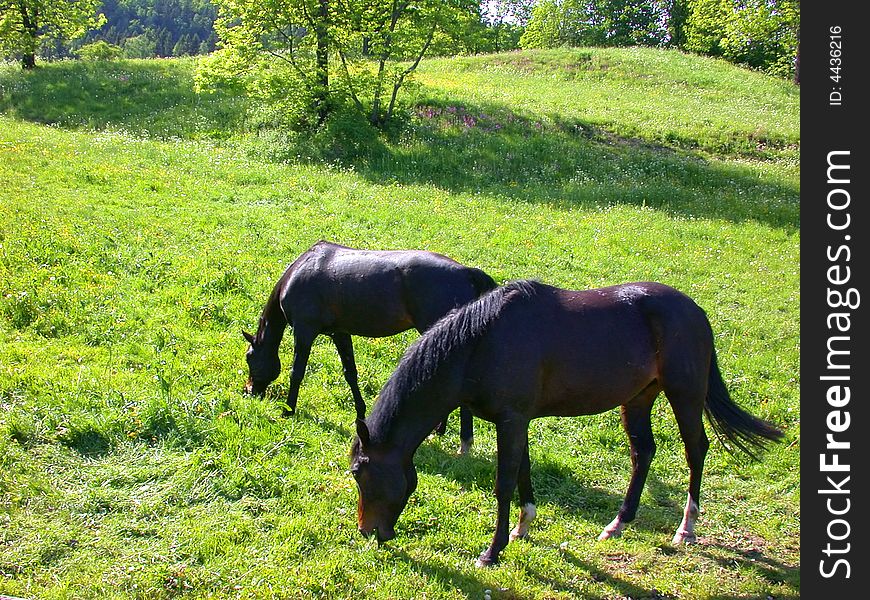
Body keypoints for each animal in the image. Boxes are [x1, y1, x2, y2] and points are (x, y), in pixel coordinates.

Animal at [244, 239, 498, 450]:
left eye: (249, 358)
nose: (249, 391)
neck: (301, 271)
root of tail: (467, 272)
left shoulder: (304, 330)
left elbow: (297, 372)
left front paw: (288, 410)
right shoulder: (340, 333)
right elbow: (350, 374)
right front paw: (360, 414)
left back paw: (464, 441)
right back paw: (441, 429)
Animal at [350, 278, 788, 564]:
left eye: (359, 471)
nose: (368, 533)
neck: (482, 343)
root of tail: (695, 311)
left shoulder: (511, 419)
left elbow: (504, 482)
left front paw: (492, 551)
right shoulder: (518, 421)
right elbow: (523, 472)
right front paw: (523, 527)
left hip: (685, 394)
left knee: (696, 450)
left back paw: (687, 528)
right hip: (639, 397)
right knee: (643, 452)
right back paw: (619, 523)